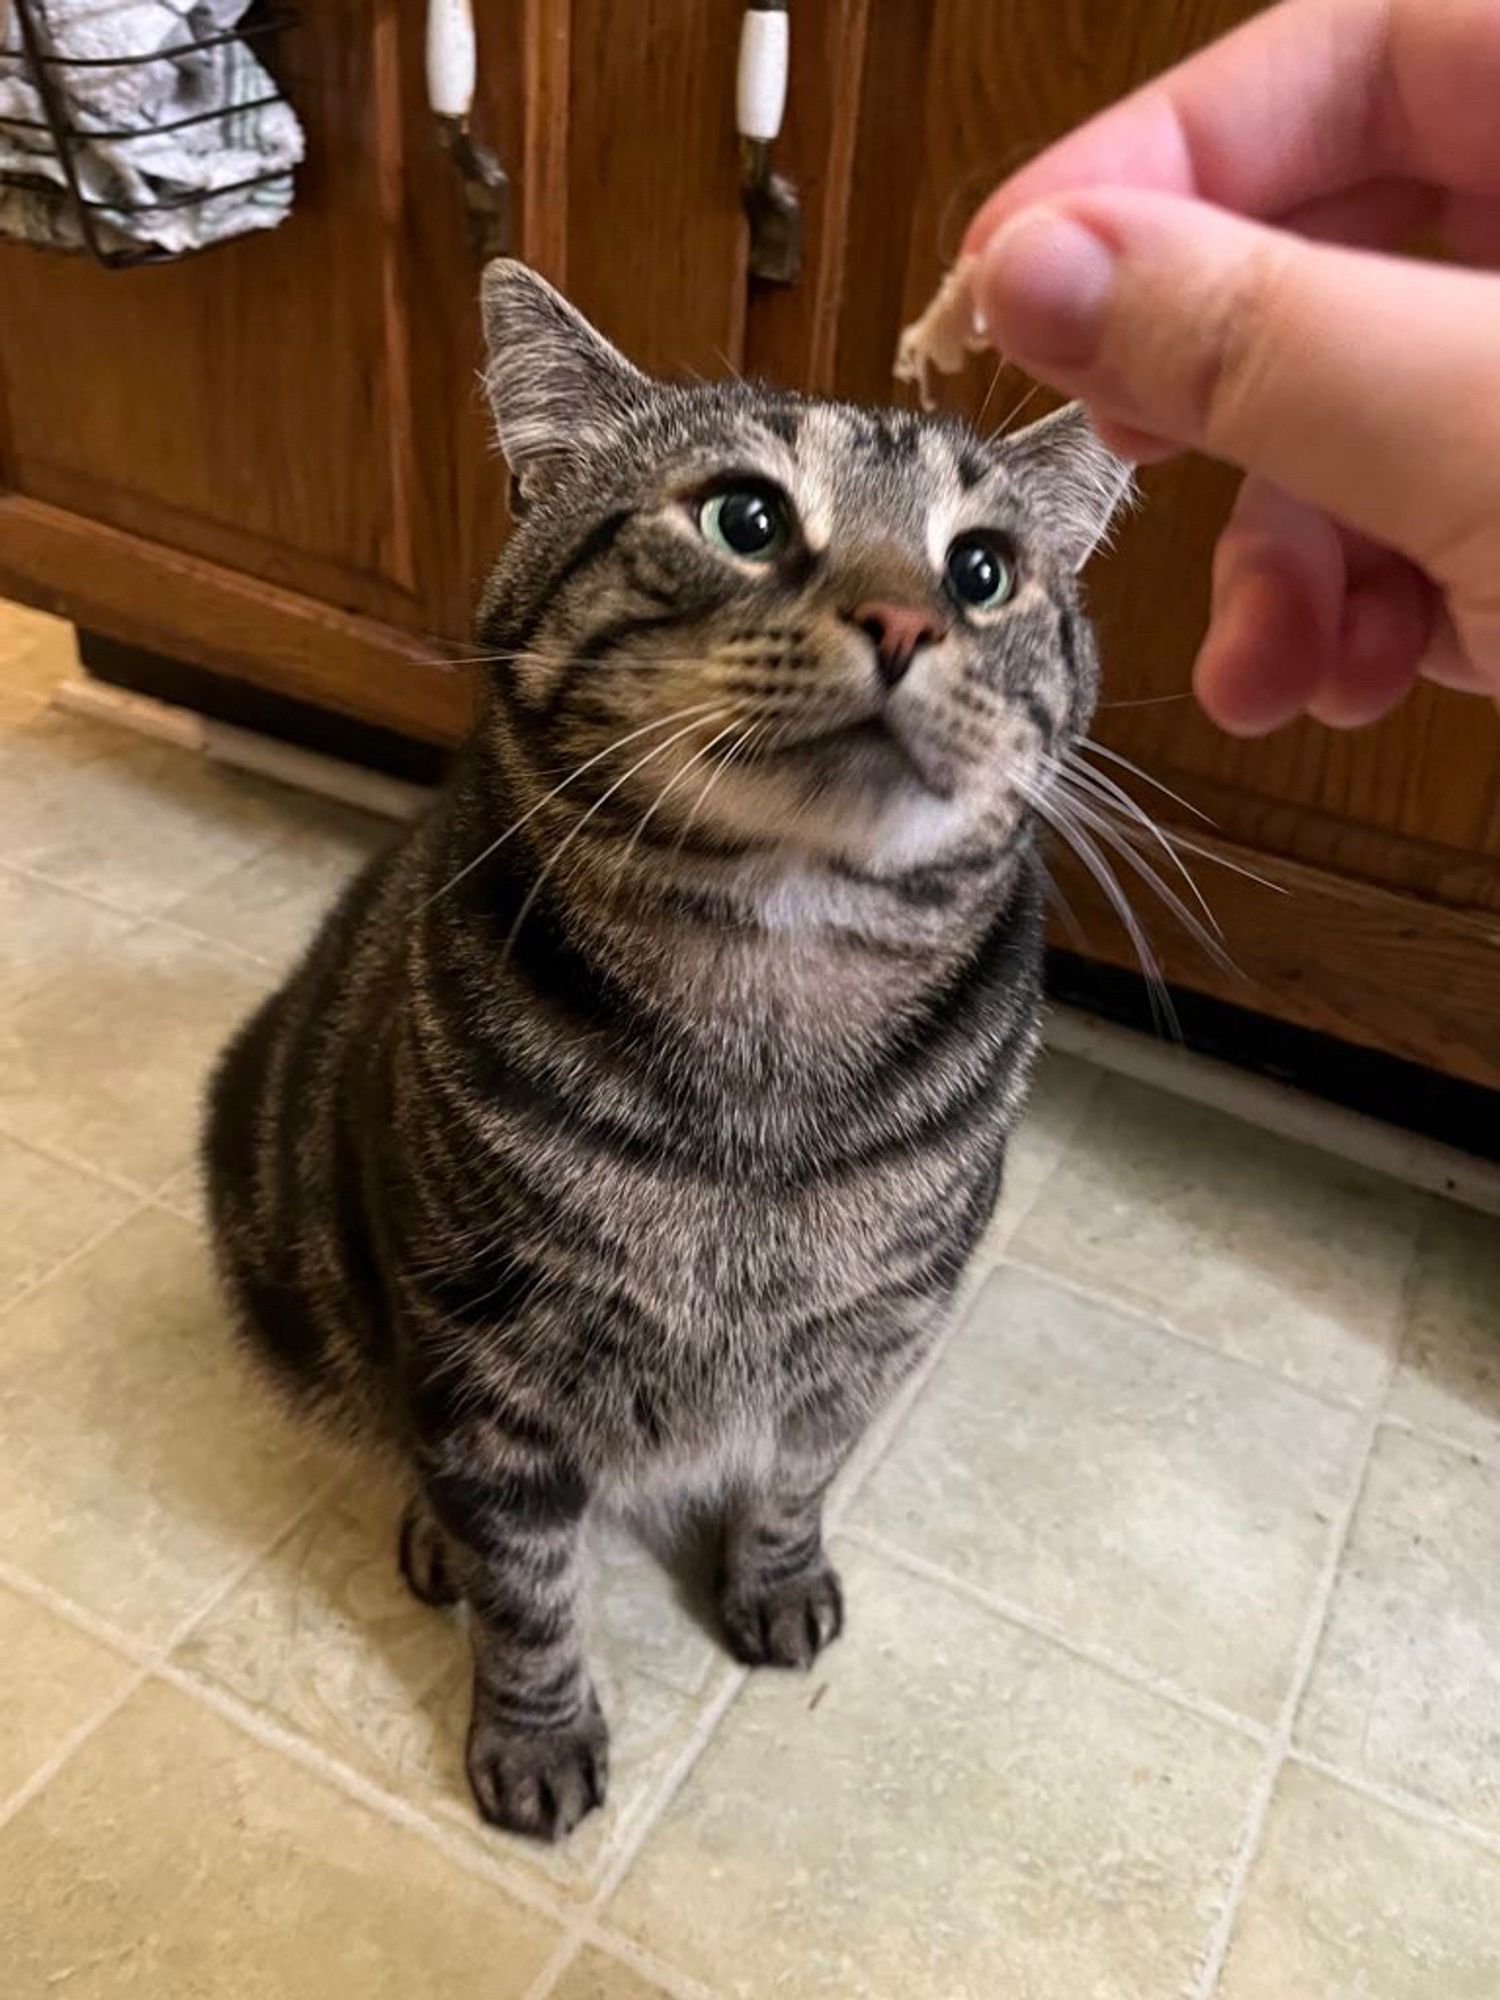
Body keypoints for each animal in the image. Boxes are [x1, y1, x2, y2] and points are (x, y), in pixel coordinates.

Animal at [203, 262, 1128, 1840]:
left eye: (983, 569)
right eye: (745, 519)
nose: (906, 619)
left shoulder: (867, 1339)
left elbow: (794, 1486)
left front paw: (776, 1582)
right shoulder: (483, 1360)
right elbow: (529, 1587)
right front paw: (534, 1735)